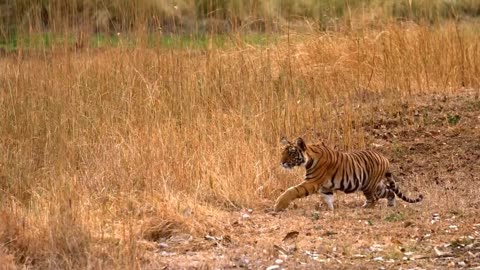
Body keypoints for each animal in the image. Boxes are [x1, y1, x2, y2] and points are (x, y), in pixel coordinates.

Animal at [274, 138, 424, 212]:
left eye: (291, 152)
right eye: (283, 152)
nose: (281, 162)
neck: (308, 158)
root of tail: (385, 158)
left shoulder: (312, 182)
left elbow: (292, 191)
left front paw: (279, 205)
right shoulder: (325, 187)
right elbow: (327, 198)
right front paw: (328, 210)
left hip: (369, 186)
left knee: (373, 199)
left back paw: (365, 208)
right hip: (375, 185)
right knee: (389, 192)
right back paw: (391, 205)